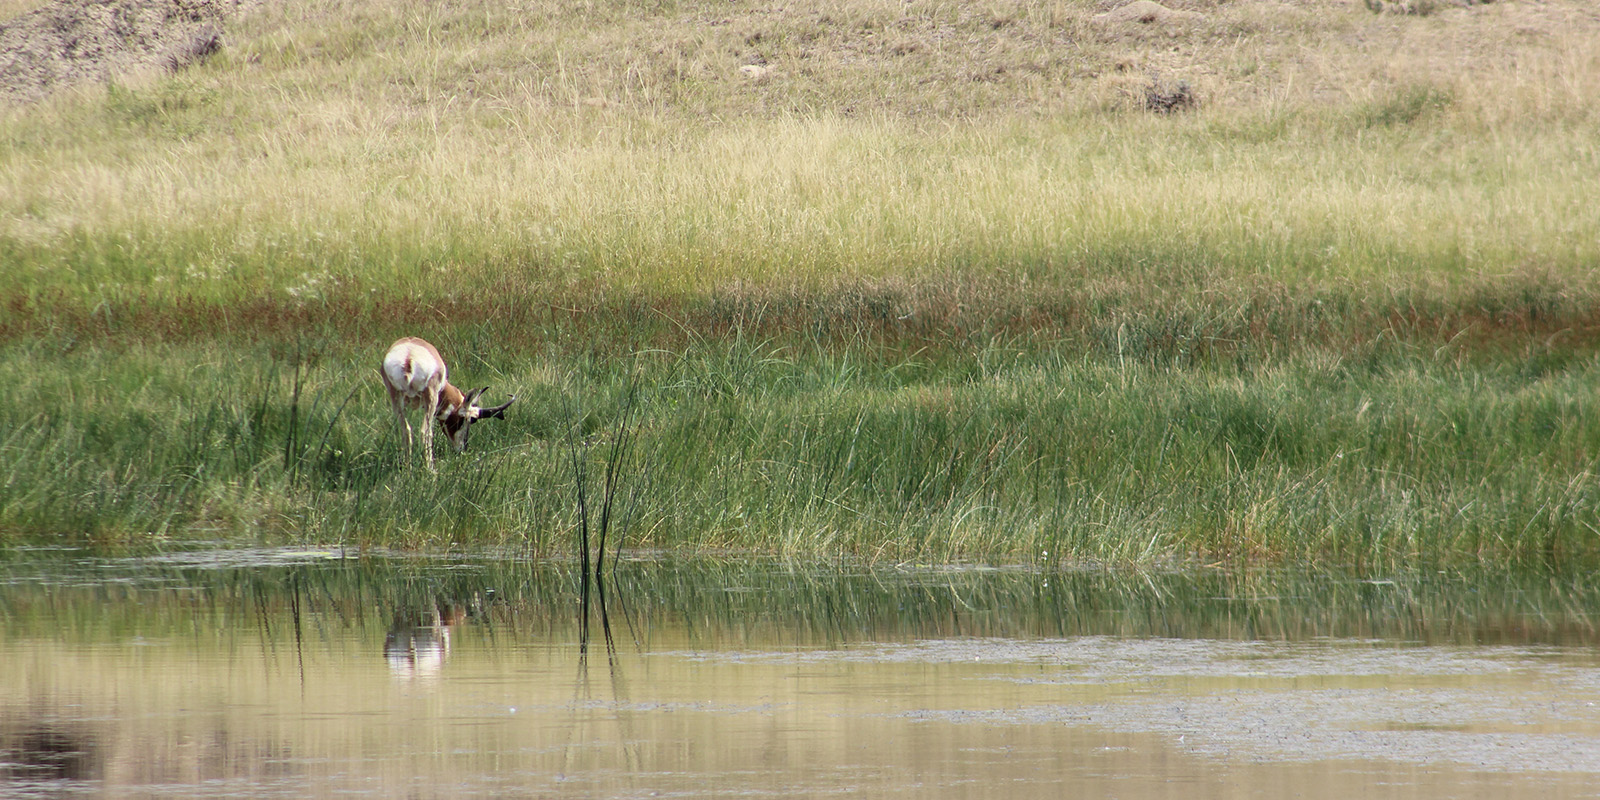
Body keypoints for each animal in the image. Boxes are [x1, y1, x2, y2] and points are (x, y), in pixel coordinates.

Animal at [379, 337, 512, 467]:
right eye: (472, 419)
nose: (462, 449)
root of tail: (409, 356)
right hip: (430, 398)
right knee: (425, 432)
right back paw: (430, 470)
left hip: (396, 398)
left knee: (406, 431)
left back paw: (408, 469)